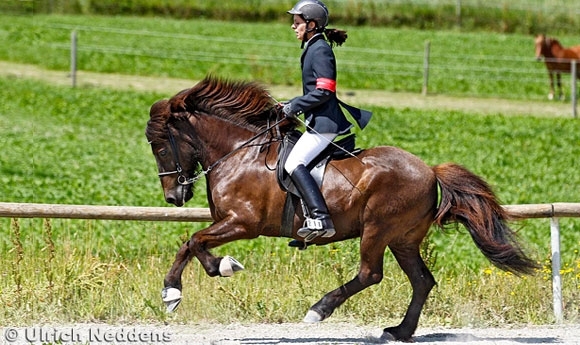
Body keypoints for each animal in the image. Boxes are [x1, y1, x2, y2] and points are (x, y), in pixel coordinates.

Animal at [146, 76, 540, 342]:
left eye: (160, 146)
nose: (173, 197)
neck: (238, 153)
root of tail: (429, 170)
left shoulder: (242, 223)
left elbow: (194, 241)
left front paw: (193, 281)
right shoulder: (230, 223)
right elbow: (191, 244)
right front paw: (179, 288)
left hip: (377, 229)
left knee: (371, 274)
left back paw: (319, 309)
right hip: (403, 238)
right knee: (422, 280)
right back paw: (400, 330)